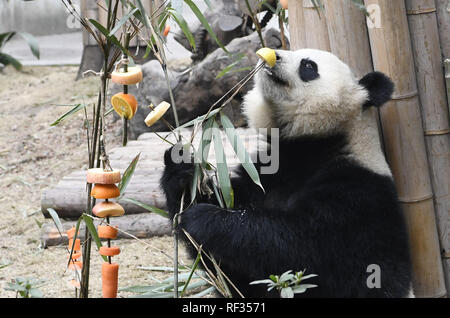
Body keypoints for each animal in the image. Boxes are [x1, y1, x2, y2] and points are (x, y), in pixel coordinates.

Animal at [160, 48, 414, 296]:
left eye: (308, 65)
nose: (273, 56)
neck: (312, 145)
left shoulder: (355, 194)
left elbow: (300, 248)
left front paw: (202, 218)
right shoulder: (264, 175)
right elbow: (231, 271)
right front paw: (182, 170)